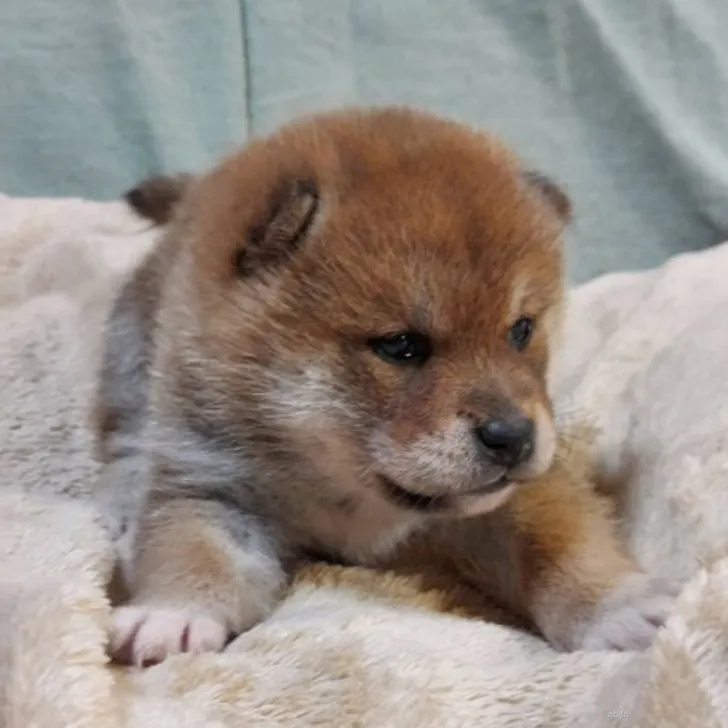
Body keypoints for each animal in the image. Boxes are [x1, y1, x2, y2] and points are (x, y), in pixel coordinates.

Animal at [95, 106, 676, 664]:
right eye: (401, 346)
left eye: (521, 330)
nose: (512, 437)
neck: (339, 491)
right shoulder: (211, 485)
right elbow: (193, 549)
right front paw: (173, 613)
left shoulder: (522, 494)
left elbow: (561, 545)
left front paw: (617, 606)